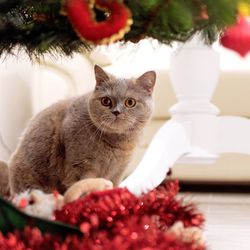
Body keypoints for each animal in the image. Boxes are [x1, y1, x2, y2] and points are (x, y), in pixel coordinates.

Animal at [1, 65, 155, 201]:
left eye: (130, 102)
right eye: (106, 101)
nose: (116, 112)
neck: (115, 145)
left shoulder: (118, 172)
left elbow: (113, 185)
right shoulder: (81, 167)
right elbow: (84, 186)